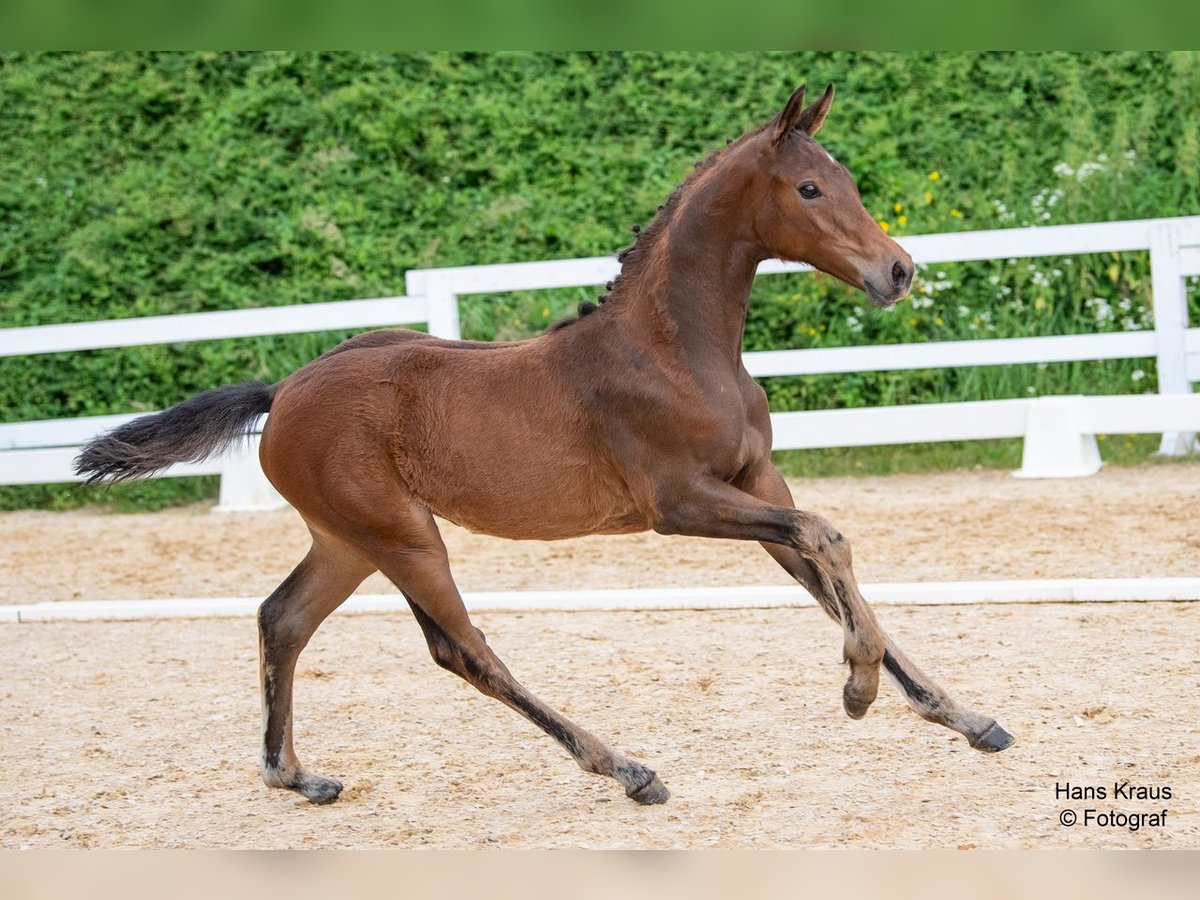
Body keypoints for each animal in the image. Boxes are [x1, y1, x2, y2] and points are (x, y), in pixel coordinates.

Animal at [75, 88, 1012, 811]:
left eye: (848, 180)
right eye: (810, 187)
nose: (898, 271)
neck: (675, 349)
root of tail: (284, 390)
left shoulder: (757, 482)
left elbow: (827, 575)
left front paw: (965, 718)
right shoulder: (681, 503)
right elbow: (828, 537)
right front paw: (856, 691)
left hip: (346, 539)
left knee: (284, 618)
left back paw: (296, 777)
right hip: (401, 535)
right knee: (461, 650)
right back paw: (626, 768)